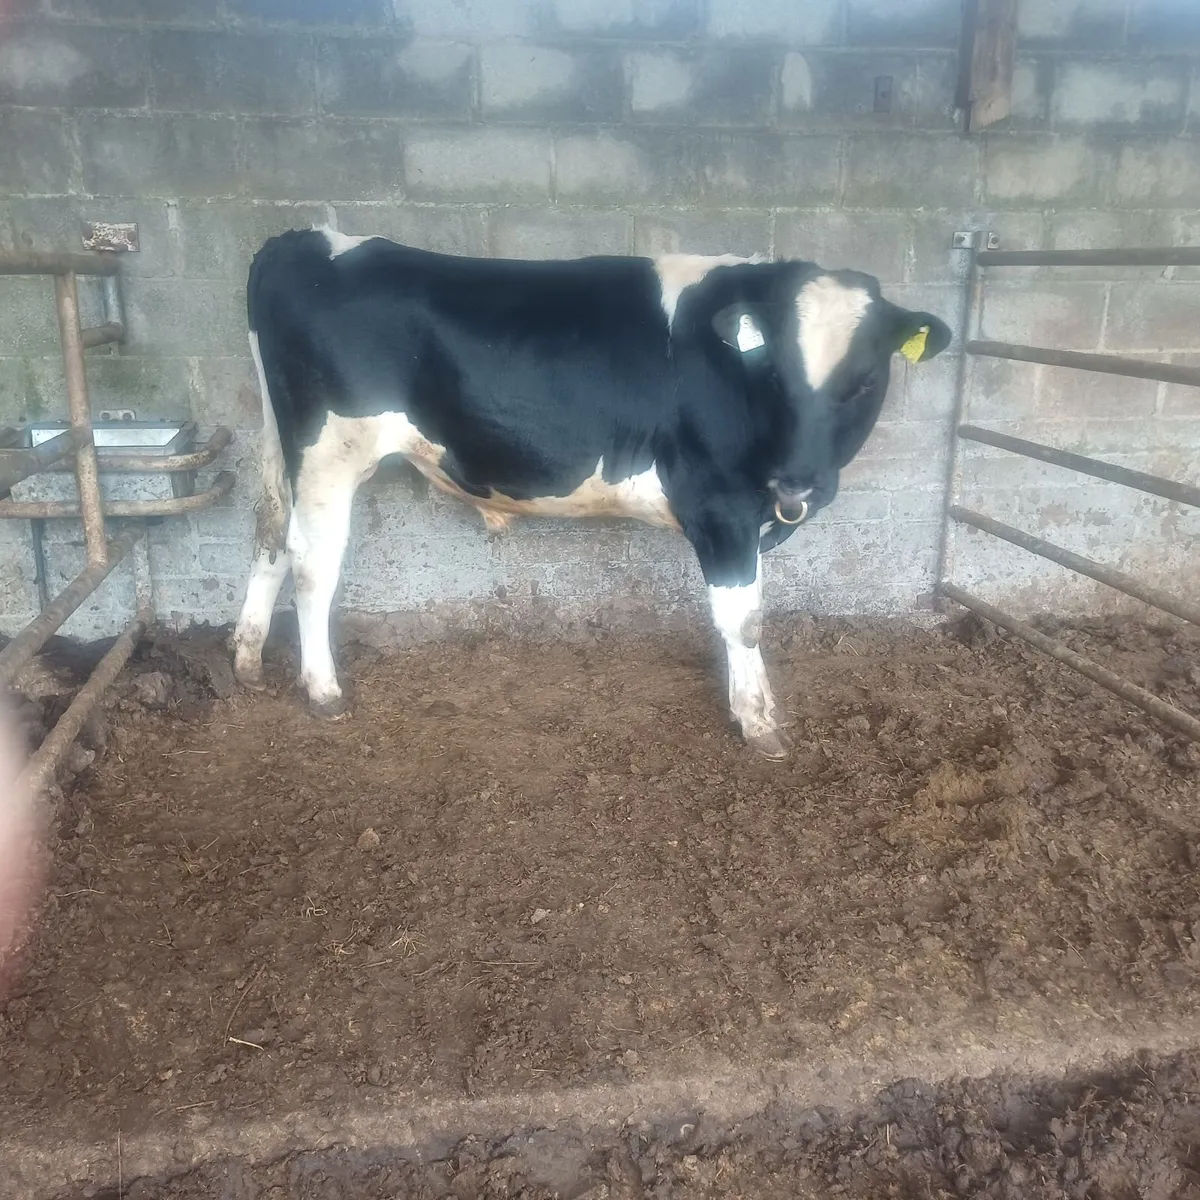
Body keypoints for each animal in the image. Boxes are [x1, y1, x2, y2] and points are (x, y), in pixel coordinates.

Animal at [231, 228, 952, 758]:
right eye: (774, 371)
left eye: (864, 380)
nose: (796, 480)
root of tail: (302, 239)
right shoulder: (718, 504)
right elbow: (743, 620)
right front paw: (758, 722)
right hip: (331, 453)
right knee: (312, 563)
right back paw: (322, 689)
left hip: (289, 448)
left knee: (270, 536)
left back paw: (246, 659)